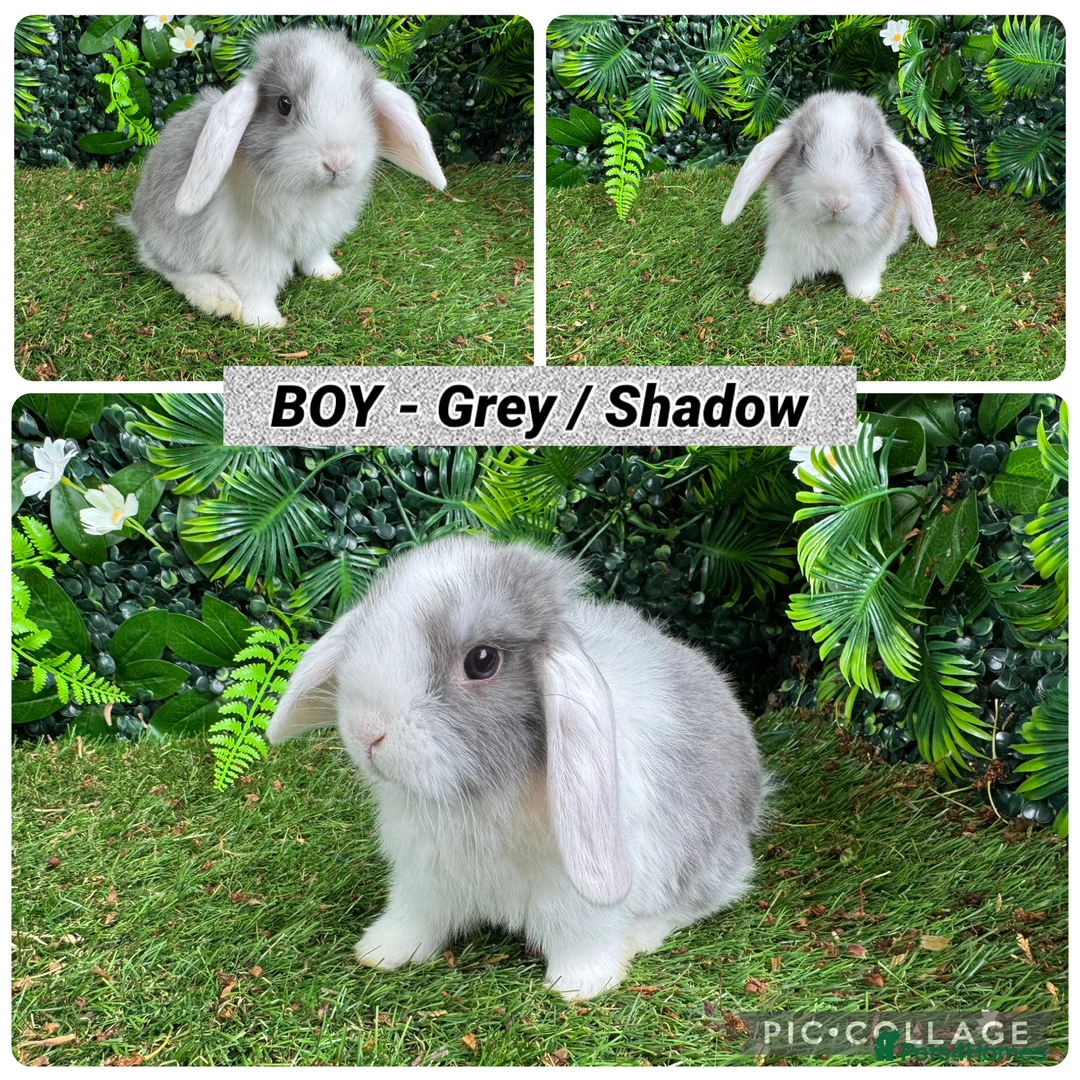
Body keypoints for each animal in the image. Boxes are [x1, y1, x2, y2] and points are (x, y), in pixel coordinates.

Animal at [117, 26, 446, 328]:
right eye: (284, 104)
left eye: (366, 105)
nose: (338, 162)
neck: (309, 192)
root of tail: (137, 220)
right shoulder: (252, 252)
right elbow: (256, 286)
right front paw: (265, 322)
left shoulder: (315, 235)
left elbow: (315, 255)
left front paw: (327, 273)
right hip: (172, 240)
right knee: (167, 266)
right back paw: (218, 298)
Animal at [267, 534, 767, 1000]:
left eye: (482, 661)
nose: (367, 730)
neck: (480, 796)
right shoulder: (422, 881)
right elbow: (413, 920)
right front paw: (381, 952)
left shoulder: (579, 903)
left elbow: (584, 939)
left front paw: (578, 986)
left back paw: (641, 936)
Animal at [721, 90, 937, 304]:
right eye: (803, 149)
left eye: (871, 152)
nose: (835, 202)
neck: (831, 228)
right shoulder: (782, 249)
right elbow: (775, 271)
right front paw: (762, 294)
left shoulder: (864, 258)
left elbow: (861, 277)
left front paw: (864, 294)